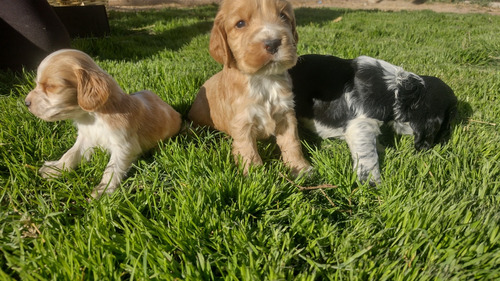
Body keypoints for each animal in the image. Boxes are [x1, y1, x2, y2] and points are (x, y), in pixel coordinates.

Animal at [25, 49, 182, 198]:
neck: (92, 118)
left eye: (51, 86)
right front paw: (56, 168)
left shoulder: (124, 146)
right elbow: (70, 154)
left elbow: (111, 170)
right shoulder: (85, 138)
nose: (26, 103)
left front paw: (103, 191)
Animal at [290, 54, 458, 185]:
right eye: (448, 119)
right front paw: (372, 184)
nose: (445, 138)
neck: (396, 92)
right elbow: (368, 156)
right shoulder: (361, 126)